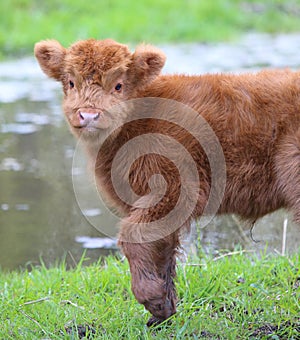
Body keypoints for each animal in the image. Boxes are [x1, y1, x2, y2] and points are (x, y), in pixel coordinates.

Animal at [35, 38, 300, 326]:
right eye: (71, 82)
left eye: (118, 85)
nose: (89, 115)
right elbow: (163, 250)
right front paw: (163, 309)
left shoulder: (173, 190)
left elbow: (133, 235)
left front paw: (152, 299)